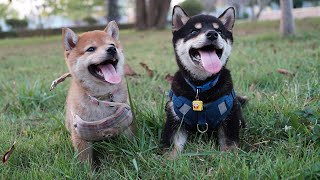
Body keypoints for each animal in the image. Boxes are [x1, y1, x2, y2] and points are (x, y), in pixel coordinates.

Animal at [62, 21, 134, 165]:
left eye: (112, 44)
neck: (102, 97)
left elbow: (131, 146)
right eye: (91, 49)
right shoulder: (80, 135)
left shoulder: (126, 126)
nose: (112, 49)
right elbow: (85, 160)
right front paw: (88, 170)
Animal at [161, 5, 246, 158]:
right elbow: (171, 146)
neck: (200, 87)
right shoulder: (175, 119)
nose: (212, 34)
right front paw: (169, 161)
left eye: (220, 31)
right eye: (194, 31)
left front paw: (230, 158)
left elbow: (230, 143)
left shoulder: (230, 116)